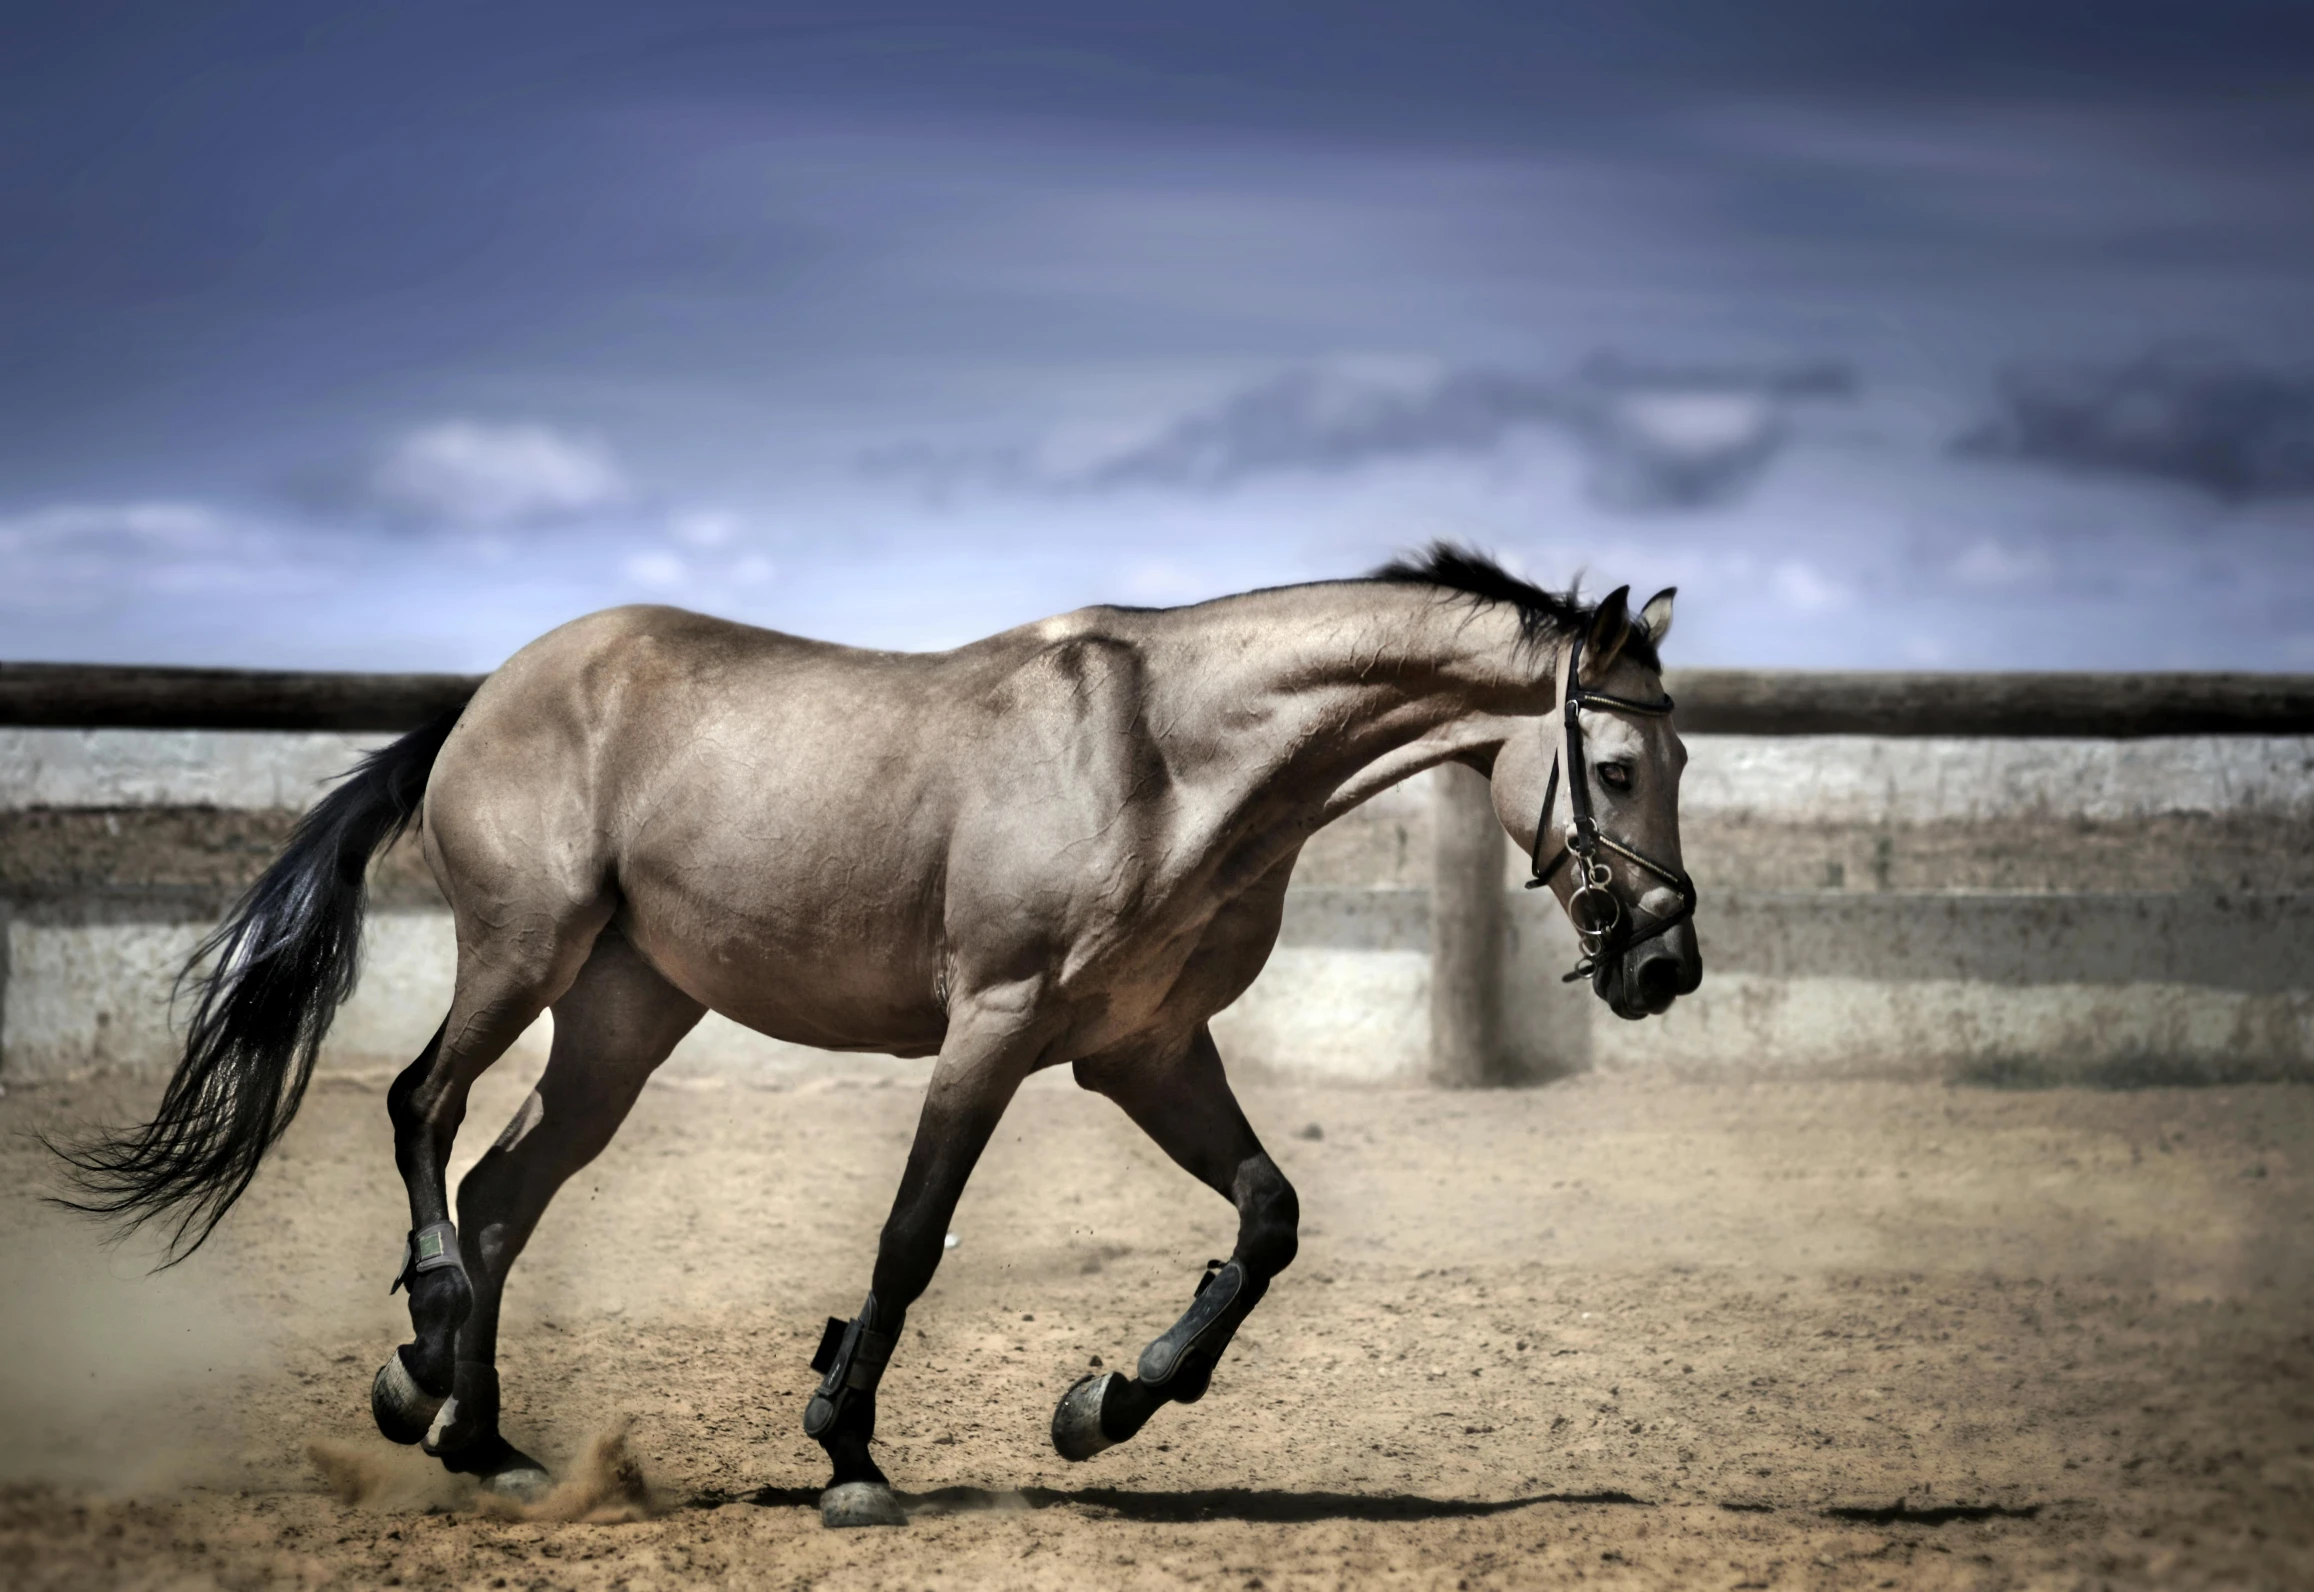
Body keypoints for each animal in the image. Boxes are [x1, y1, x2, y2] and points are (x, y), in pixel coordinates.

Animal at [63, 546, 1703, 1527]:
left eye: (1683, 758)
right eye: (1619, 766)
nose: (1666, 964)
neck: (1172, 760)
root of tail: (483, 696)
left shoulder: (1145, 1049)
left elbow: (1268, 1214)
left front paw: (1103, 1406)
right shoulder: (994, 1030)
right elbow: (911, 1239)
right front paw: (848, 1448)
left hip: (624, 1013)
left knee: (504, 1190)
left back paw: (477, 1435)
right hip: (523, 953)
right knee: (421, 1111)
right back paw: (424, 1350)